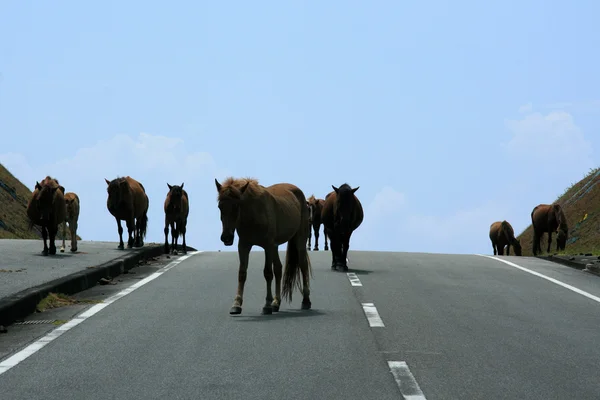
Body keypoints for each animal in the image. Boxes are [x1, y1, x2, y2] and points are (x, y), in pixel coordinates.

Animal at [216, 176, 312, 316]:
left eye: (237, 205)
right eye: (220, 206)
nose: (226, 237)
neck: (254, 214)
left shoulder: (267, 246)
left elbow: (267, 273)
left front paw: (266, 305)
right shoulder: (244, 246)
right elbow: (242, 273)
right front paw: (236, 304)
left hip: (299, 239)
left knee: (303, 265)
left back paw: (306, 301)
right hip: (275, 246)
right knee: (278, 268)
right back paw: (276, 303)